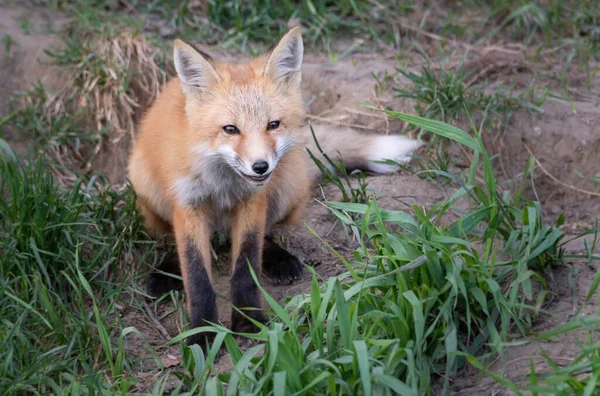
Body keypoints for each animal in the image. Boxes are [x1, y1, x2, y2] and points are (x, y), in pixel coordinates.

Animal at [127, 27, 418, 346]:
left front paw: (249, 321)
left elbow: (247, 264)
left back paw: (278, 259)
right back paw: (167, 270)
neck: (224, 183)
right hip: (147, 188)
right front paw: (203, 332)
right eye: (230, 129)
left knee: (267, 234)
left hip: (287, 186)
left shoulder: (253, 201)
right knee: (170, 239)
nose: (261, 167)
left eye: (273, 124)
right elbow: (196, 274)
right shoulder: (188, 204)